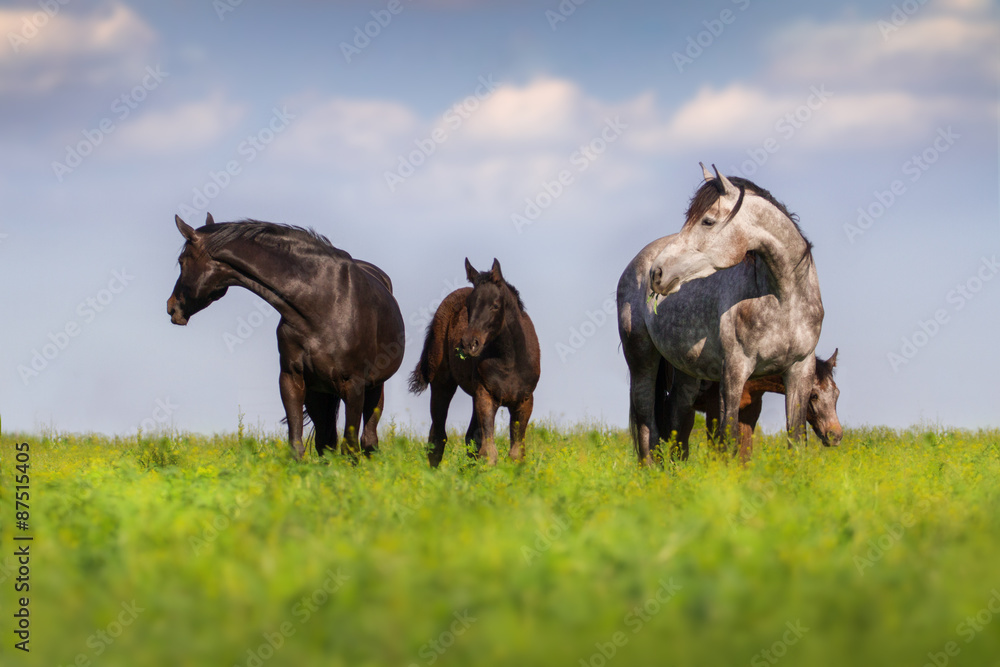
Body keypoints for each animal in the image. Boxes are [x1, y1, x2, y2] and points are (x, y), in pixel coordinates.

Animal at [167, 213, 405, 460]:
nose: (171, 308)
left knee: (368, 440)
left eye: (182, 261)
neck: (322, 303)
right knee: (326, 441)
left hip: (373, 387)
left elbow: (350, 447)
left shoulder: (354, 385)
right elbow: (298, 444)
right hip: (320, 394)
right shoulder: (292, 379)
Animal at [408, 258, 540, 467]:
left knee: (470, 437)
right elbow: (489, 452)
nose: (469, 343)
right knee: (437, 436)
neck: (510, 361)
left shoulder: (524, 401)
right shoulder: (485, 395)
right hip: (442, 383)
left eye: (495, 305)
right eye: (468, 306)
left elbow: (516, 453)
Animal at [618, 163, 824, 465]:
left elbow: (796, 439)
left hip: (686, 371)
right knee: (648, 428)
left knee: (677, 421)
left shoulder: (800, 369)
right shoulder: (734, 371)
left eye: (707, 221)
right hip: (642, 360)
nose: (657, 273)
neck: (784, 301)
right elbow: (728, 437)